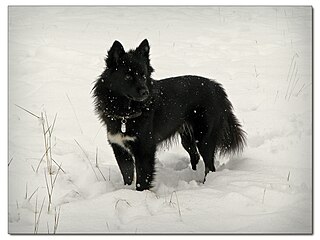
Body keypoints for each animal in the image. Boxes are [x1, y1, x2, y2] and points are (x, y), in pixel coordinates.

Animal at [92, 39, 245, 191]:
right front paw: (126, 191)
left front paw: (141, 194)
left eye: (143, 75)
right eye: (128, 76)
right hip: (187, 138)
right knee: (195, 156)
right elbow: (127, 176)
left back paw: (205, 185)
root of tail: (218, 88)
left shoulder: (144, 149)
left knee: (210, 166)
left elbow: (142, 180)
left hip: (204, 138)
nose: (145, 92)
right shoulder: (119, 149)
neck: (125, 112)